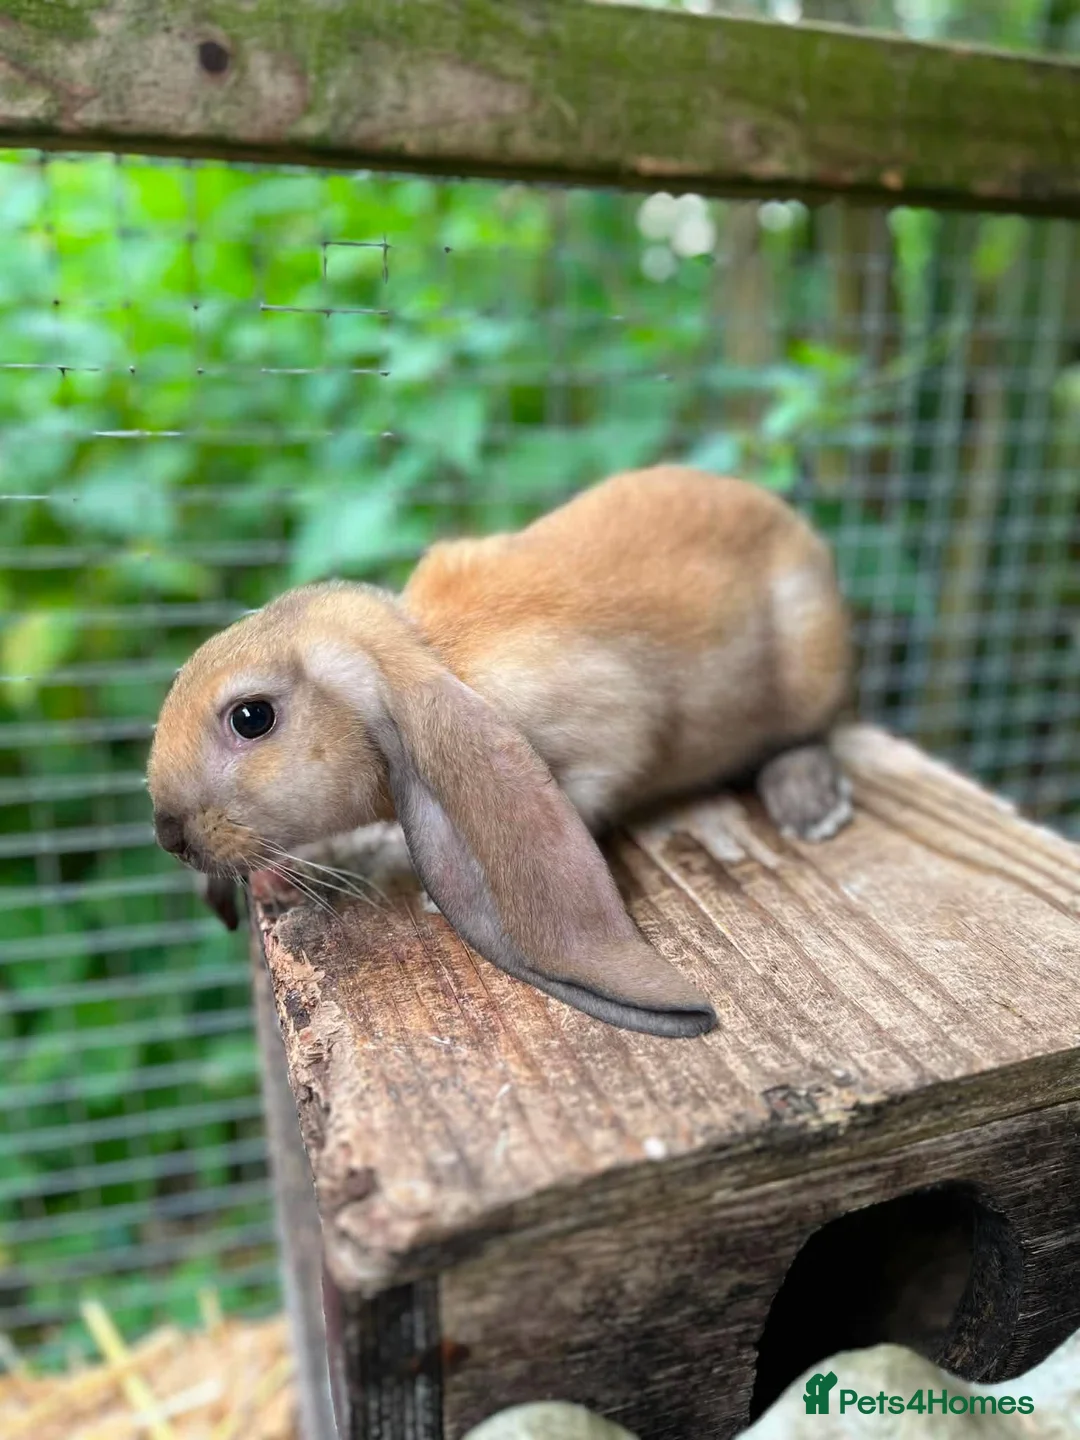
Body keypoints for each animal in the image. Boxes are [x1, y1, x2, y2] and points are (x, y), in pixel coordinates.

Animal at [146, 465, 852, 1039]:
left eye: (252, 717)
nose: (167, 835)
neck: (433, 651)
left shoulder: (607, 734)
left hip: (811, 664)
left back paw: (810, 804)